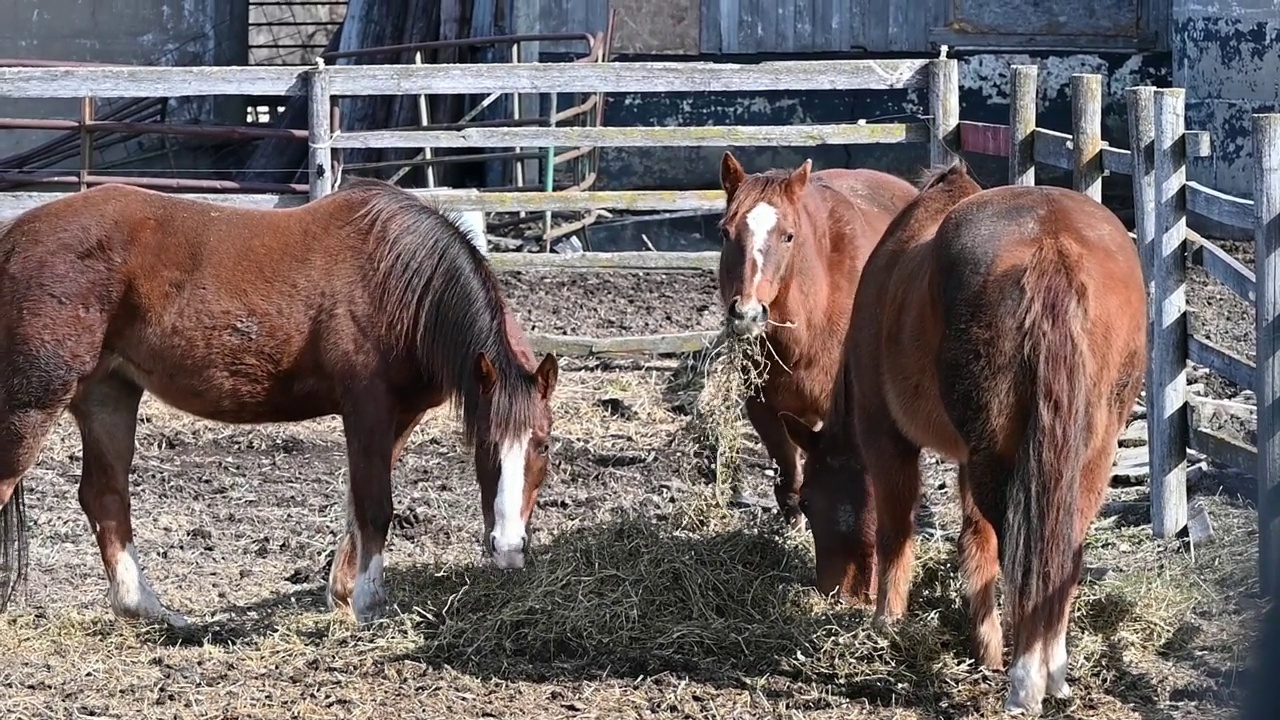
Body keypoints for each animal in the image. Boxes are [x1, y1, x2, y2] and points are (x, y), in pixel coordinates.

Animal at [0, 176, 560, 625]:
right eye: (484, 444)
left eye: (544, 445)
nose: (509, 549)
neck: (400, 285)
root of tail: (13, 239)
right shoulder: (367, 409)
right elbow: (375, 505)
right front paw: (369, 604)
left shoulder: (398, 417)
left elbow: (357, 503)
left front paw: (342, 593)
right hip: (34, 403)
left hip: (108, 394)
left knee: (105, 497)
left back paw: (151, 610)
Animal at [783, 161, 1146, 712]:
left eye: (808, 501)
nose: (832, 591)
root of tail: (1053, 245)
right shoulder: (967, 459)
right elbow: (977, 547)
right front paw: (985, 647)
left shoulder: (887, 439)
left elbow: (896, 532)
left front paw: (887, 623)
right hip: (1083, 459)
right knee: (1061, 553)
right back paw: (1053, 673)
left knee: (1027, 560)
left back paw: (1026, 683)